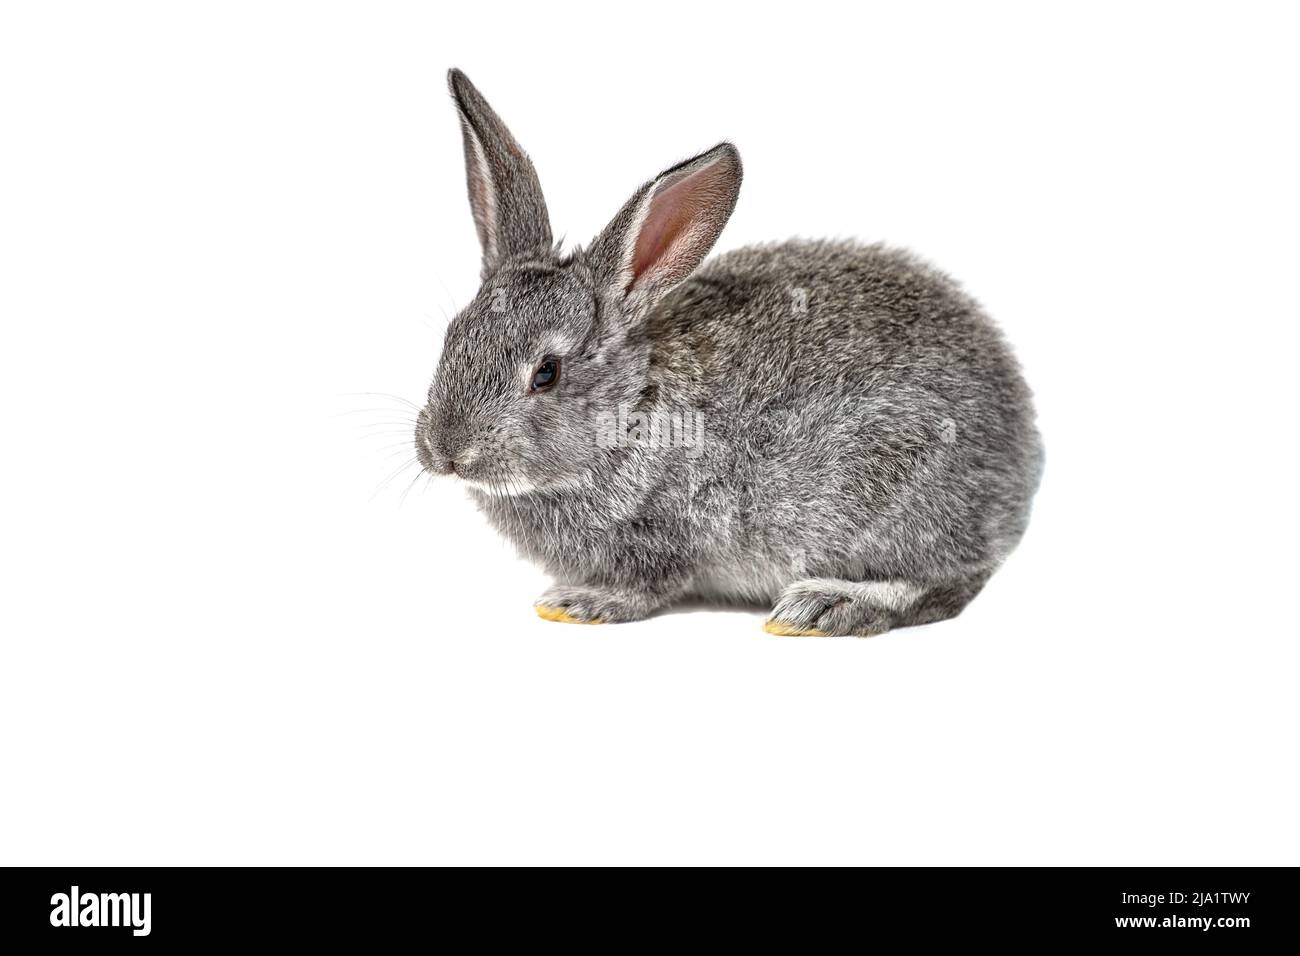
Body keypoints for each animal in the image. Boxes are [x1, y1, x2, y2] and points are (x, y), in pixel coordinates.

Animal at [414, 69, 1044, 637]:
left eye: (546, 373)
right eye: (452, 337)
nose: (445, 451)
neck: (634, 408)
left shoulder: (668, 530)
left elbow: (645, 584)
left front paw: (580, 603)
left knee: (942, 583)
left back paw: (824, 607)